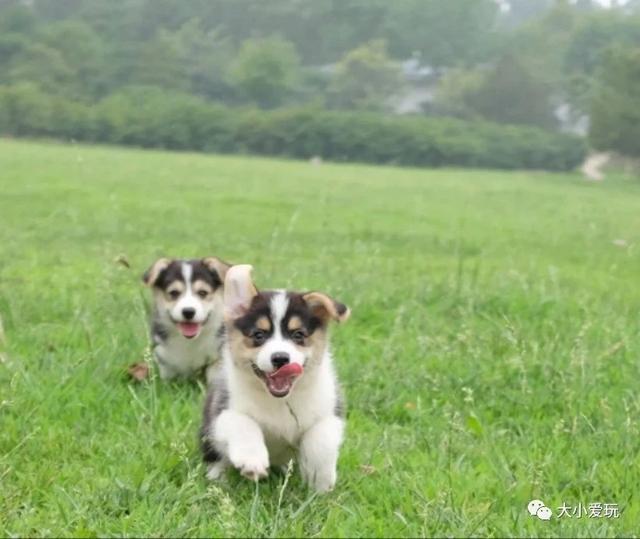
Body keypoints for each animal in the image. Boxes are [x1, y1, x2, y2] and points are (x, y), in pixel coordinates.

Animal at [200, 266, 350, 494]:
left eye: (298, 334)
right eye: (259, 335)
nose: (280, 358)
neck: (280, 400)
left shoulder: (330, 413)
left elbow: (320, 441)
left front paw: (320, 482)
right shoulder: (223, 412)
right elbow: (244, 424)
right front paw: (252, 461)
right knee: (216, 457)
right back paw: (218, 477)